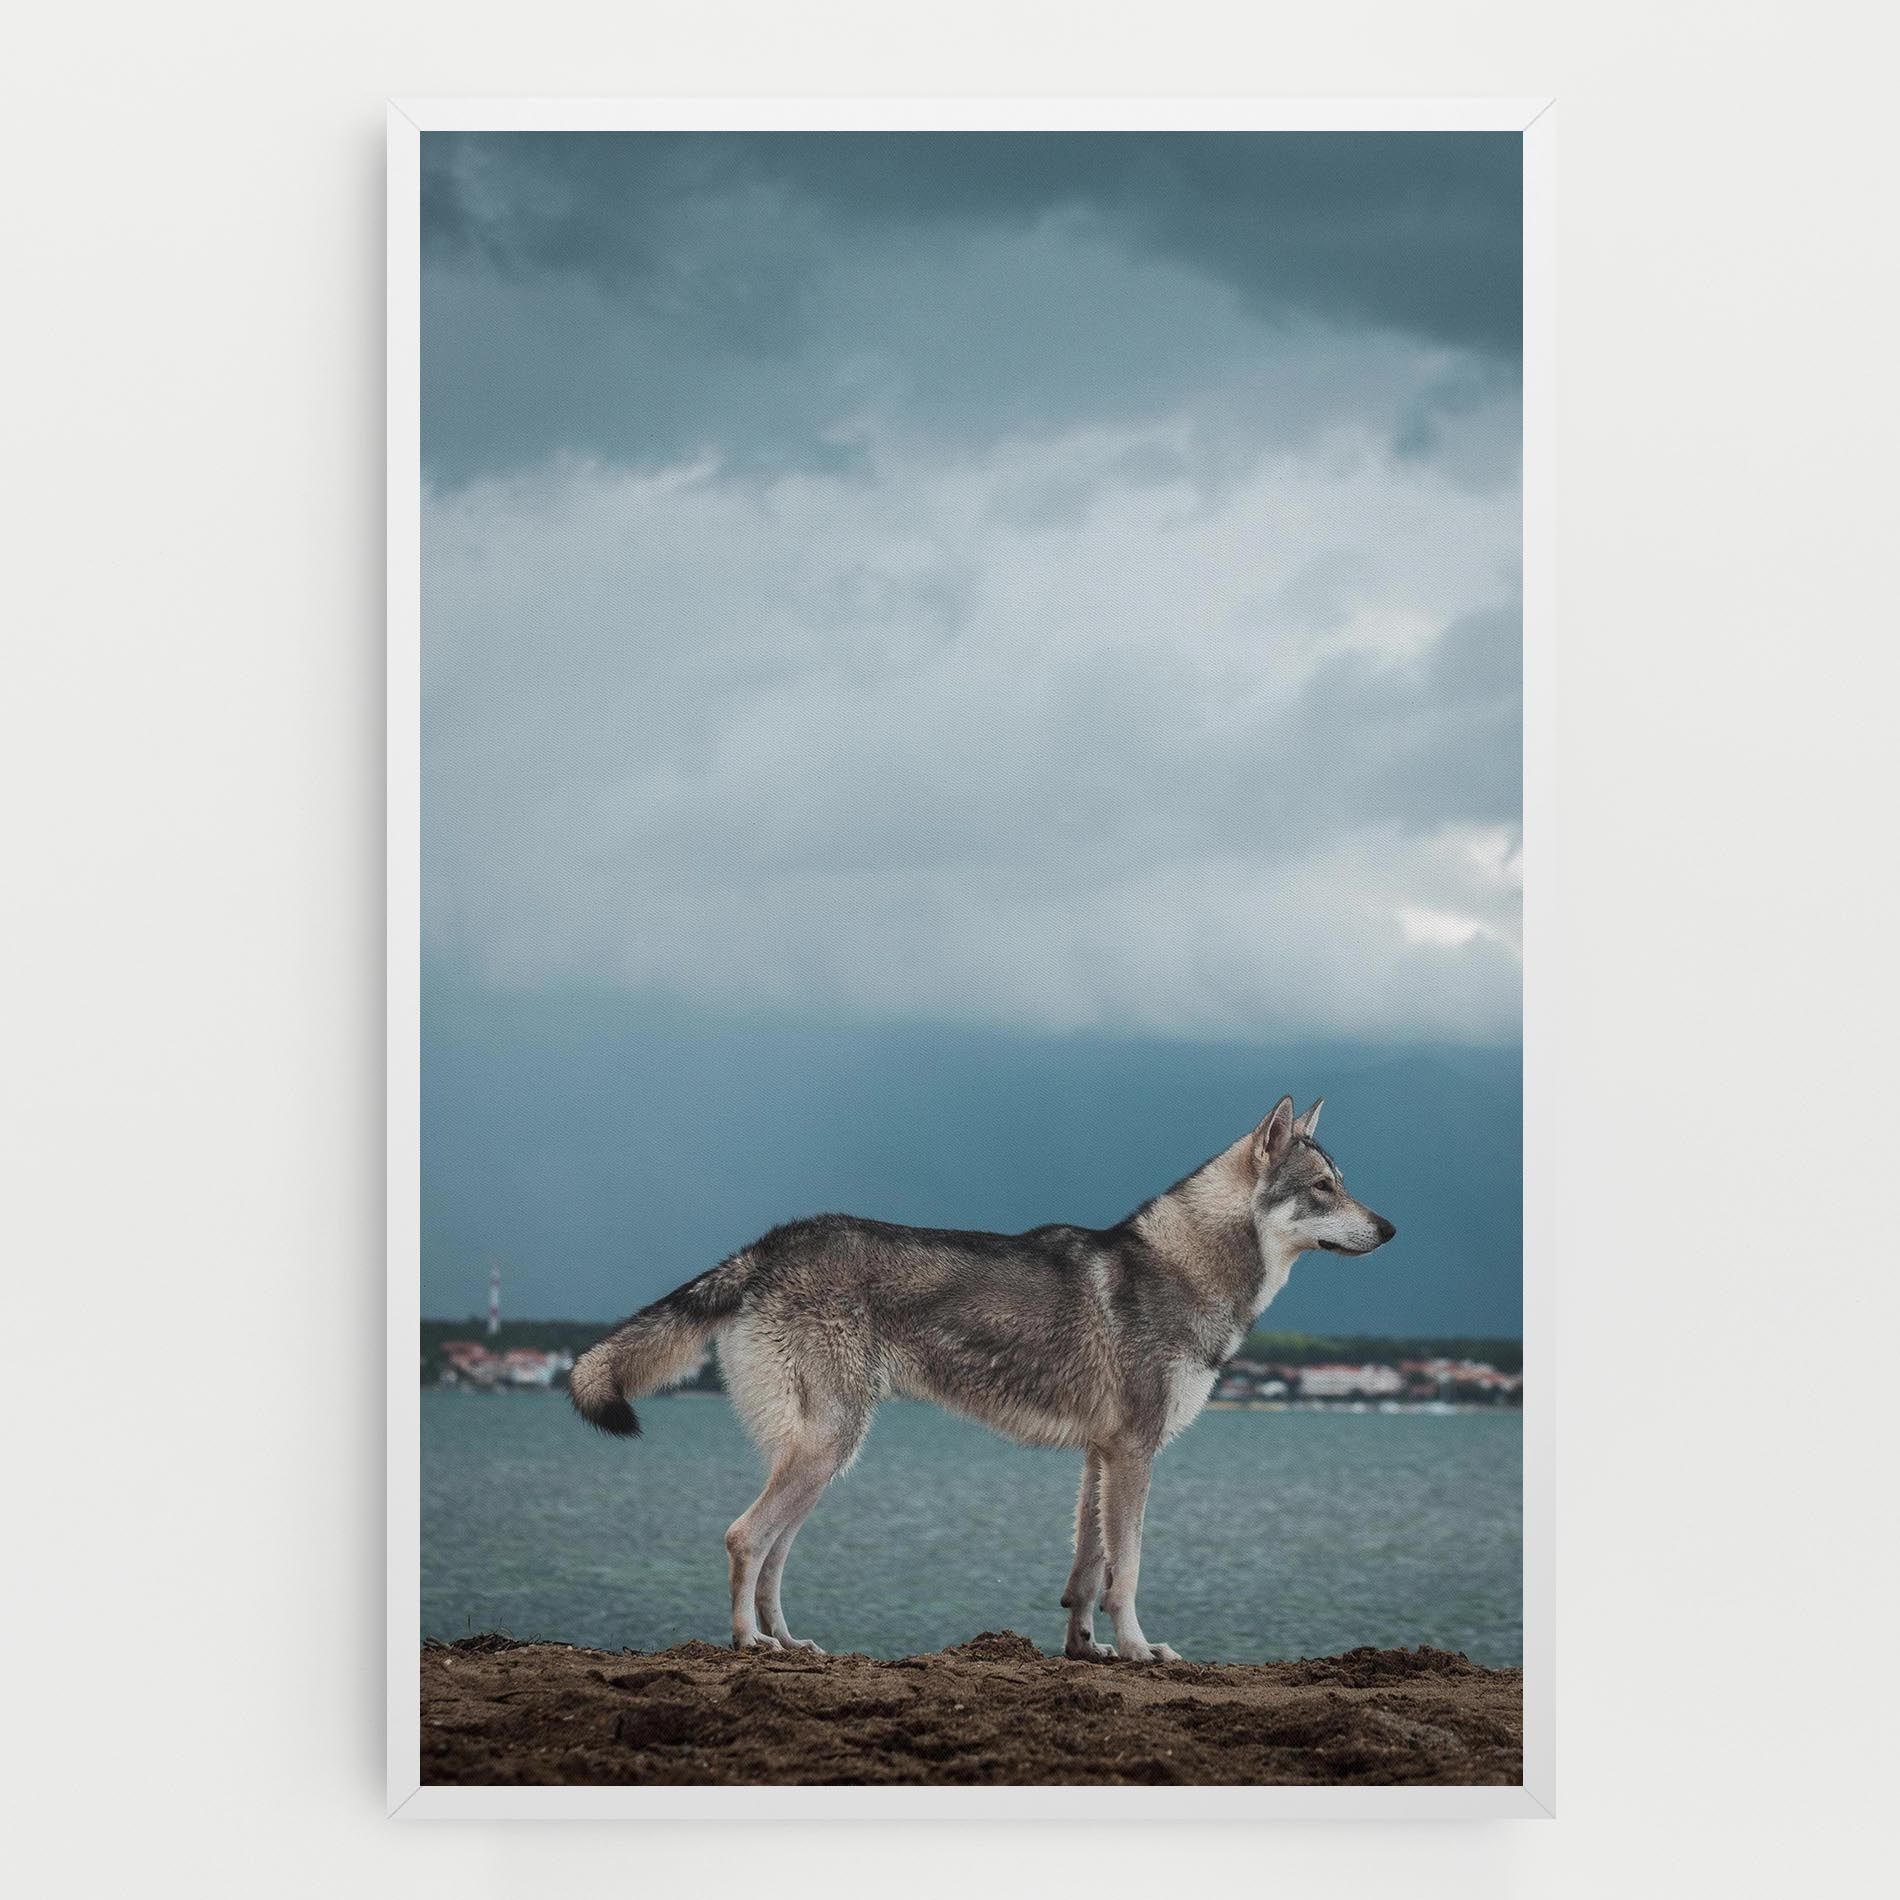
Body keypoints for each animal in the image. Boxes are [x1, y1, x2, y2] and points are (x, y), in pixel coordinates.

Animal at [569, 1094, 1395, 1662]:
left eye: (1344, 1183)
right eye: (1323, 1187)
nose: (1390, 1228)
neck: (1188, 1270)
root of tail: (770, 1244)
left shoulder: (1099, 1457)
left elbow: (1087, 1571)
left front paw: (1086, 1651)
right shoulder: (1134, 1454)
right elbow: (1127, 1570)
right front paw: (1138, 1650)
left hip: (824, 1462)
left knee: (771, 1554)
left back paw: (791, 1642)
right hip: (826, 1452)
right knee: (743, 1539)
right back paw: (750, 1644)